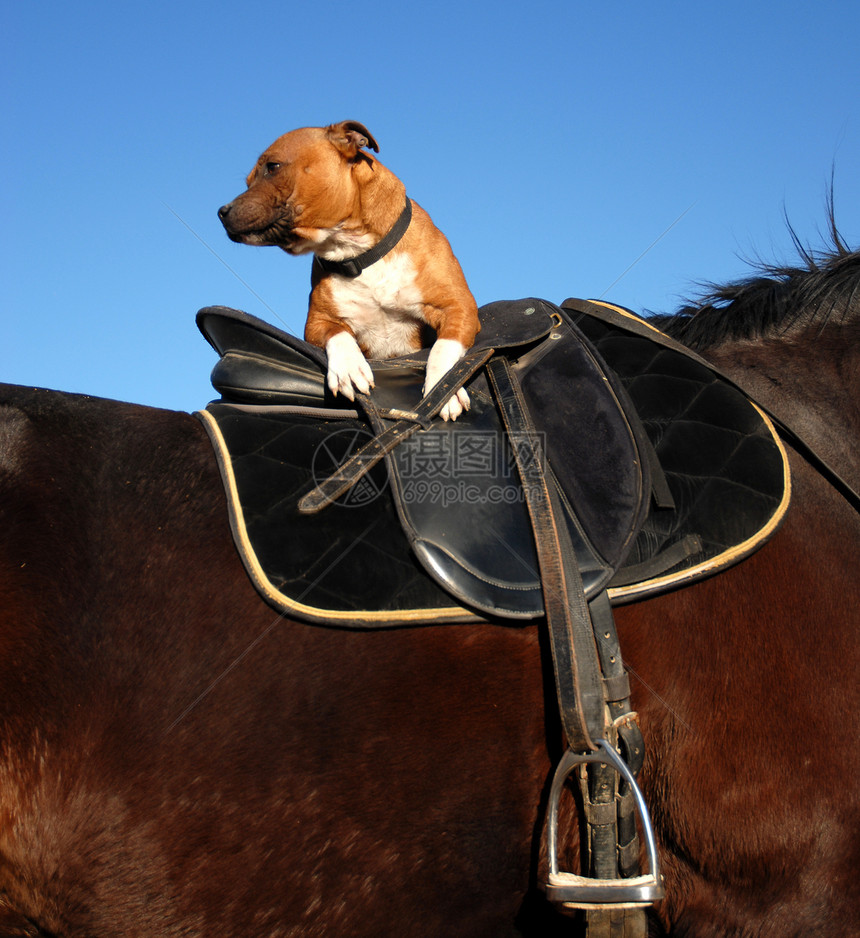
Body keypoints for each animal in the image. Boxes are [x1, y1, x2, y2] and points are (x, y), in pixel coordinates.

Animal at [218, 120, 480, 420]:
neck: (359, 253)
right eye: (248, 182)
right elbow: (339, 334)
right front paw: (348, 367)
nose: (222, 212)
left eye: (272, 167)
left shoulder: (458, 307)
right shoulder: (317, 322)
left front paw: (444, 390)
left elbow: (442, 348)